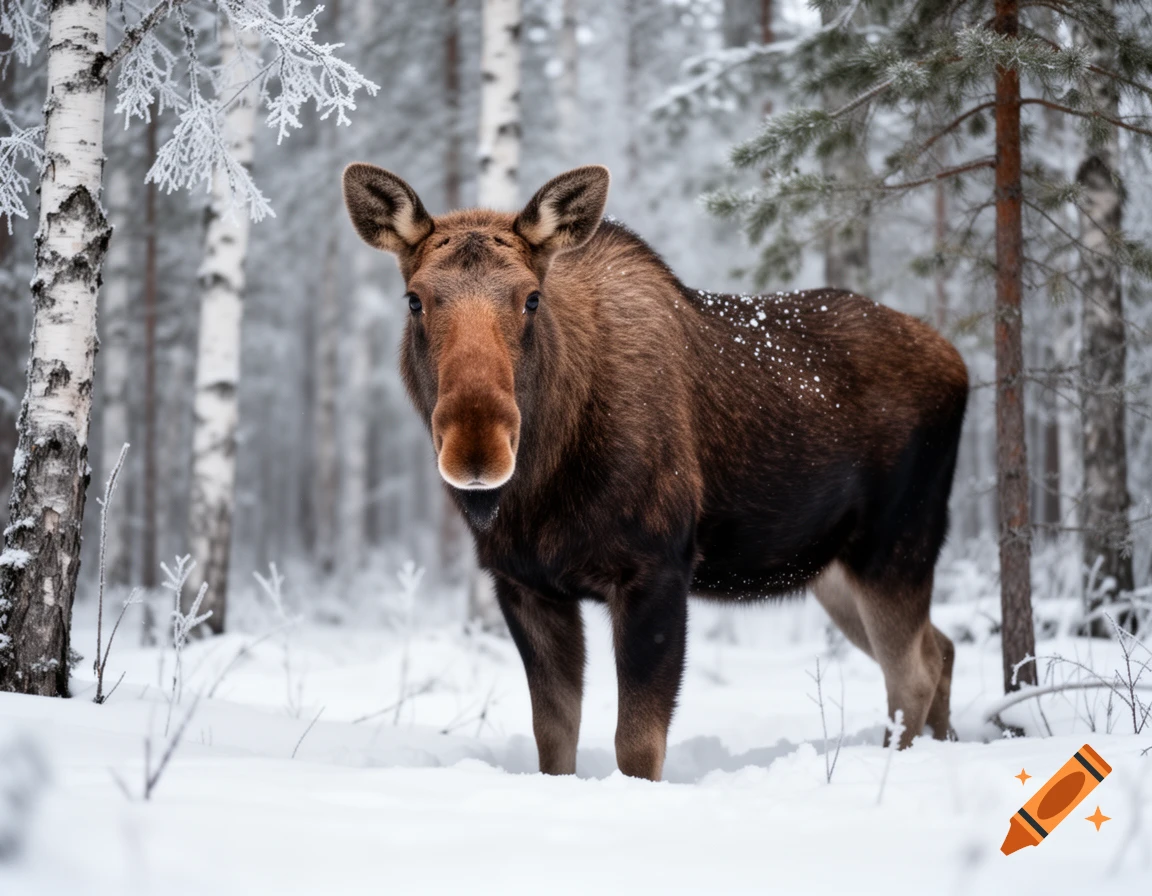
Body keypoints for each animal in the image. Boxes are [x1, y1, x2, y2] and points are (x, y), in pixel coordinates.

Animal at [342, 164, 969, 782]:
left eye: (532, 298)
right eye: (414, 300)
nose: (477, 447)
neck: (544, 484)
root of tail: (959, 365)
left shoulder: (657, 568)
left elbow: (638, 746)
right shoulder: (525, 583)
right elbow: (554, 740)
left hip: (896, 545)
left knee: (911, 673)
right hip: (836, 569)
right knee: (939, 648)